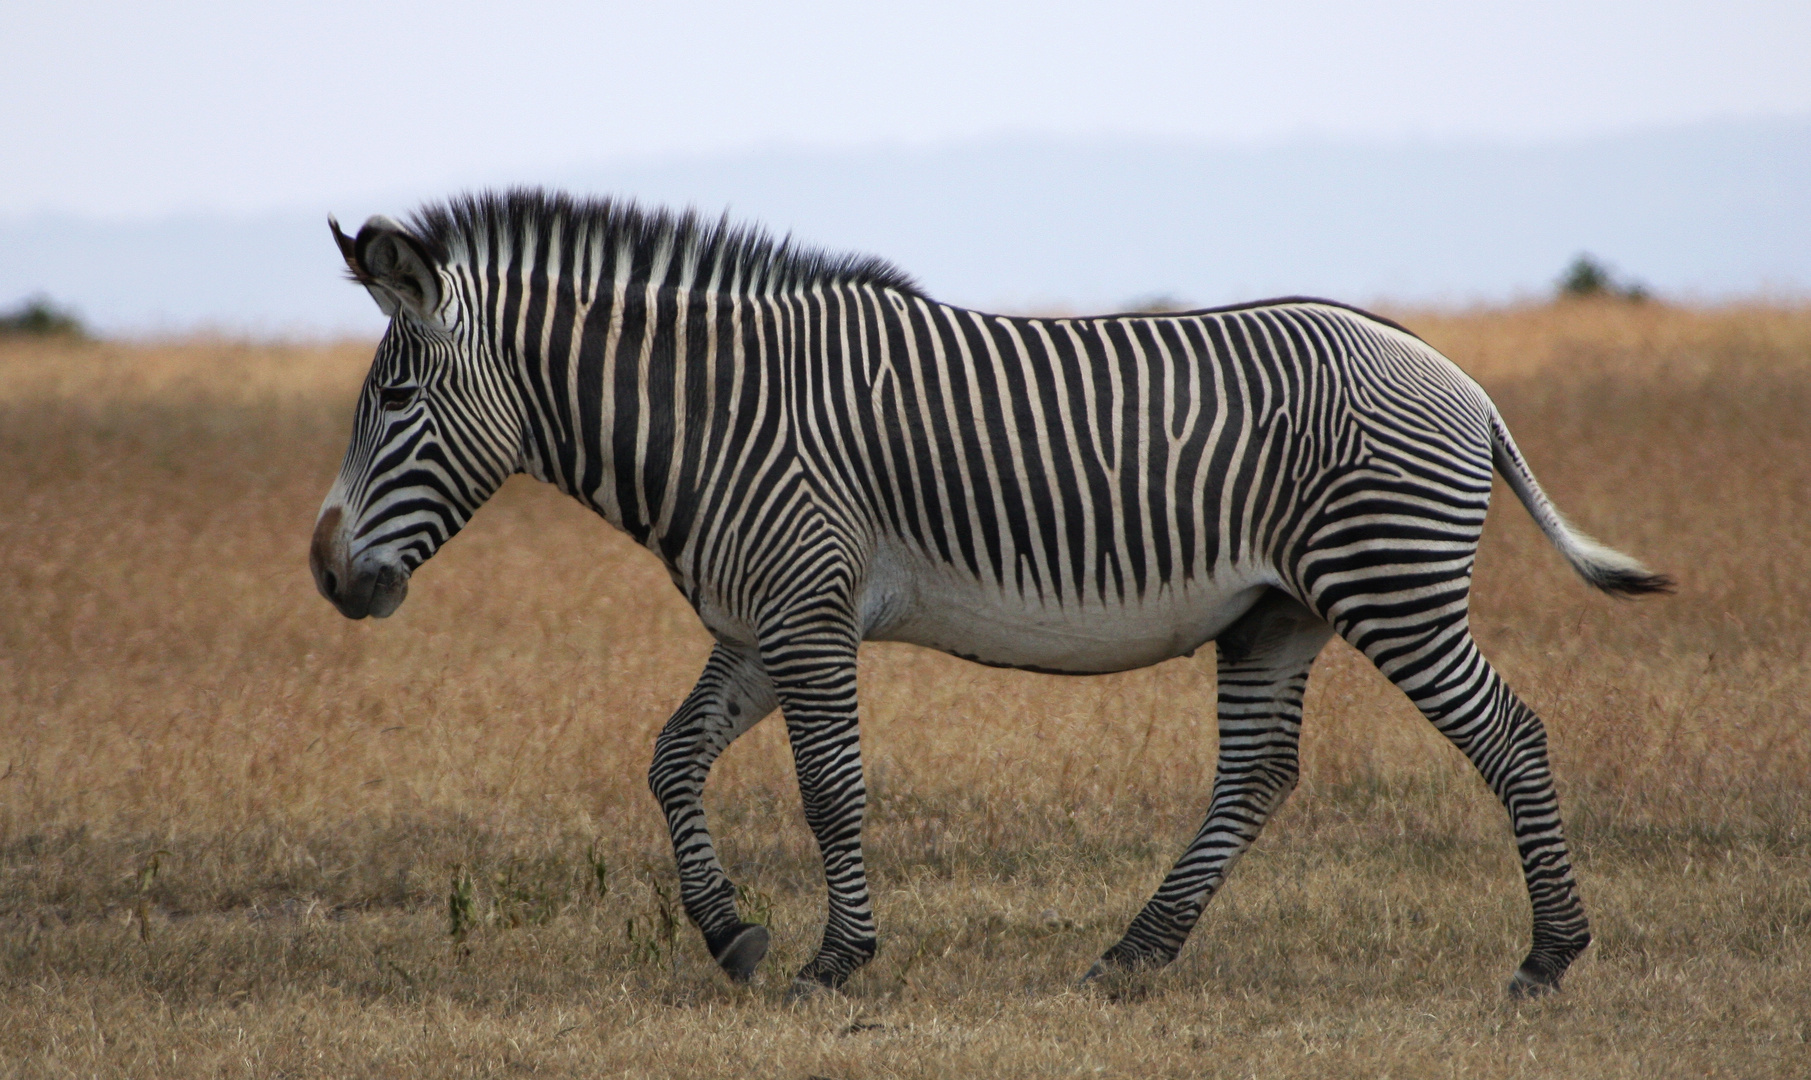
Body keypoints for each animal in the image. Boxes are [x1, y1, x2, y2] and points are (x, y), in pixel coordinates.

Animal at [307, 190, 1666, 1000]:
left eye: (396, 402)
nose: (324, 572)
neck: (719, 420)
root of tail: (1458, 379)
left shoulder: (807, 608)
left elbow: (829, 791)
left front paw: (836, 961)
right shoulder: (760, 622)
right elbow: (670, 757)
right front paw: (731, 935)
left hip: (1390, 585)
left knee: (1509, 736)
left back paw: (1548, 957)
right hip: (1273, 615)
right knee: (1256, 776)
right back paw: (1131, 955)